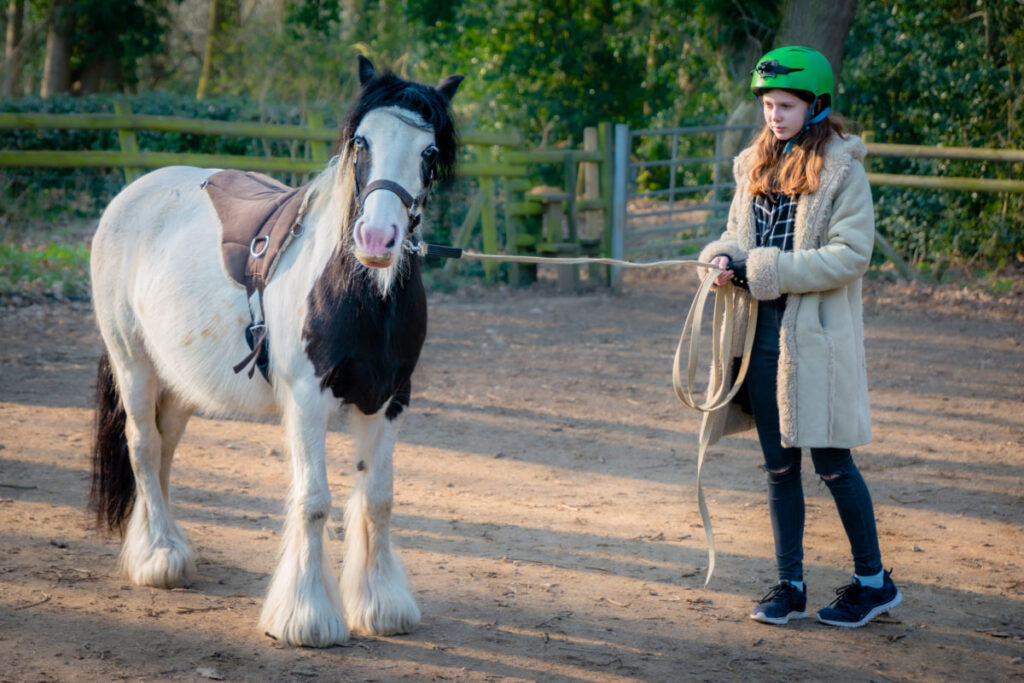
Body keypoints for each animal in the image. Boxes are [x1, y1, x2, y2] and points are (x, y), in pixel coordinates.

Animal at [89, 58, 464, 647]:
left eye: (428, 153)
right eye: (361, 141)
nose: (376, 239)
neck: (362, 294)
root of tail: (133, 196)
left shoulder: (387, 401)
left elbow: (377, 499)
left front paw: (380, 604)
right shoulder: (308, 400)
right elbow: (314, 501)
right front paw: (306, 617)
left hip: (179, 383)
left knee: (164, 450)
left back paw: (158, 545)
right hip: (134, 364)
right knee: (143, 447)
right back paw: (160, 558)